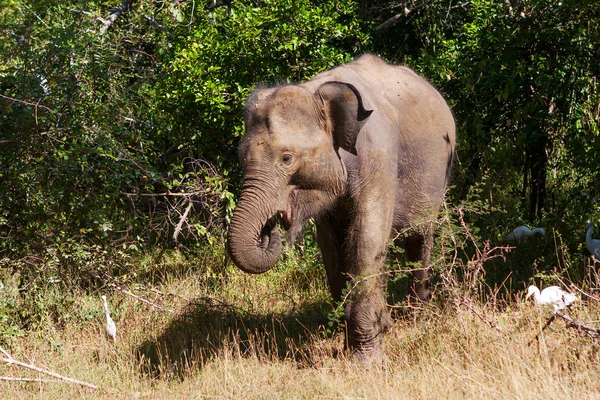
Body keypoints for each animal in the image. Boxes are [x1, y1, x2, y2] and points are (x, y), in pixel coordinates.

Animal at [225, 54, 454, 366]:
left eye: (287, 158)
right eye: (241, 157)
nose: (269, 228)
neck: (316, 91)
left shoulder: (378, 154)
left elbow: (366, 239)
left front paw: (367, 362)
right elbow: (331, 247)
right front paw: (354, 341)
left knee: (419, 236)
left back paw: (418, 317)